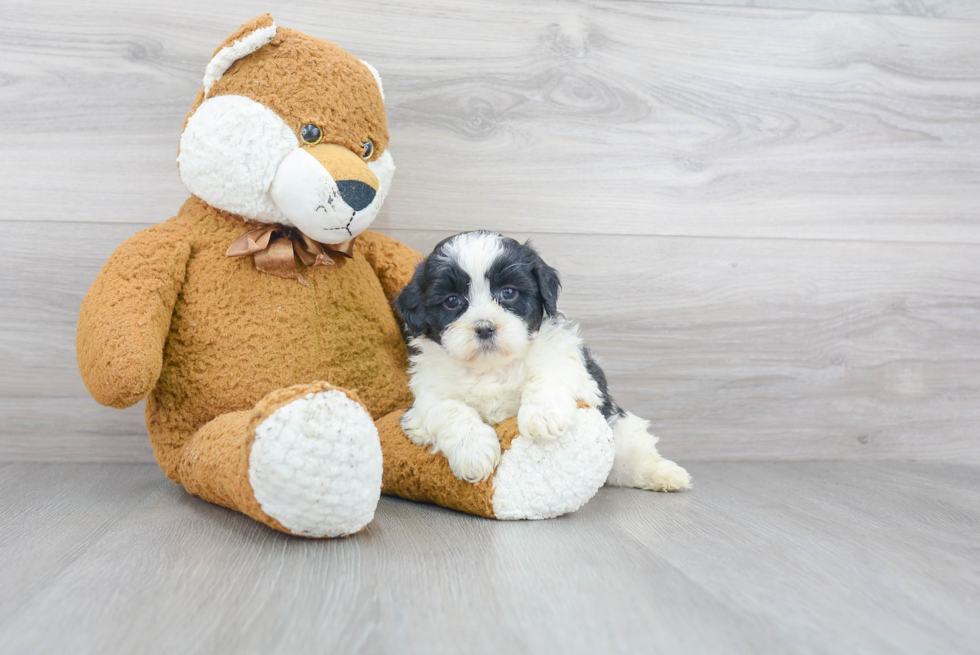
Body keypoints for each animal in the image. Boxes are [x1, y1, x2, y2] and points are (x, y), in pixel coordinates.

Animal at [392, 231, 688, 492]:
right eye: (452, 301)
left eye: (508, 293)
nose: (485, 327)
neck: (492, 368)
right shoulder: (425, 400)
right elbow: (451, 409)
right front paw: (475, 452)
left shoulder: (573, 366)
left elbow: (548, 375)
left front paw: (543, 416)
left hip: (622, 433)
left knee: (634, 456)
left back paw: (666, 475)